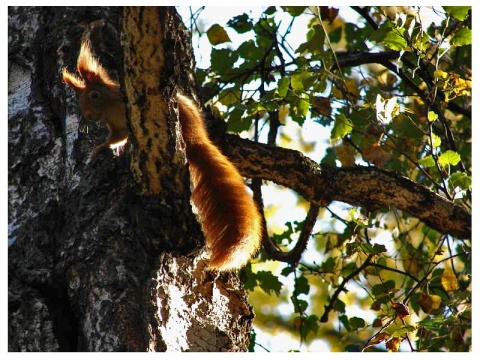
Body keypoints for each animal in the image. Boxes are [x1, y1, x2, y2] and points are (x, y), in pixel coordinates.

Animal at [62, 40, 262, 272]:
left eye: (94, 95)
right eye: (80, 100)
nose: (88, 115)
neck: (111, 109)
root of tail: (197, 139)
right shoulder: (116, 128)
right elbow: (115, 139)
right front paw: (103, 149)